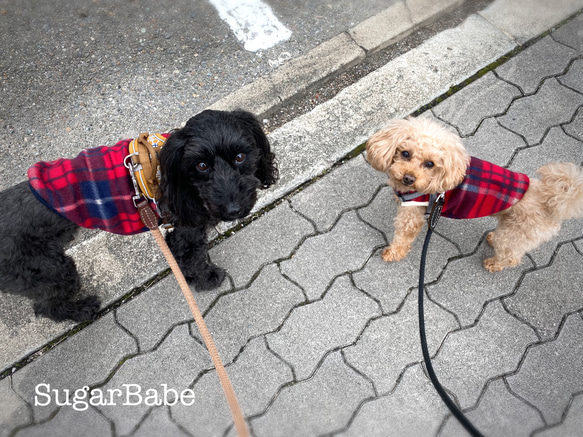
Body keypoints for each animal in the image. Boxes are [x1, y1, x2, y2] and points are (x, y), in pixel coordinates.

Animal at [0, 110, 278, 320]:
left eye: (240, 156)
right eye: (201, 165)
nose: (234, 210)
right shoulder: (187, 229)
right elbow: (194, 256)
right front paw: (206, 277)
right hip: (50, 270)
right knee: (45, 306)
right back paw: (82, 310)